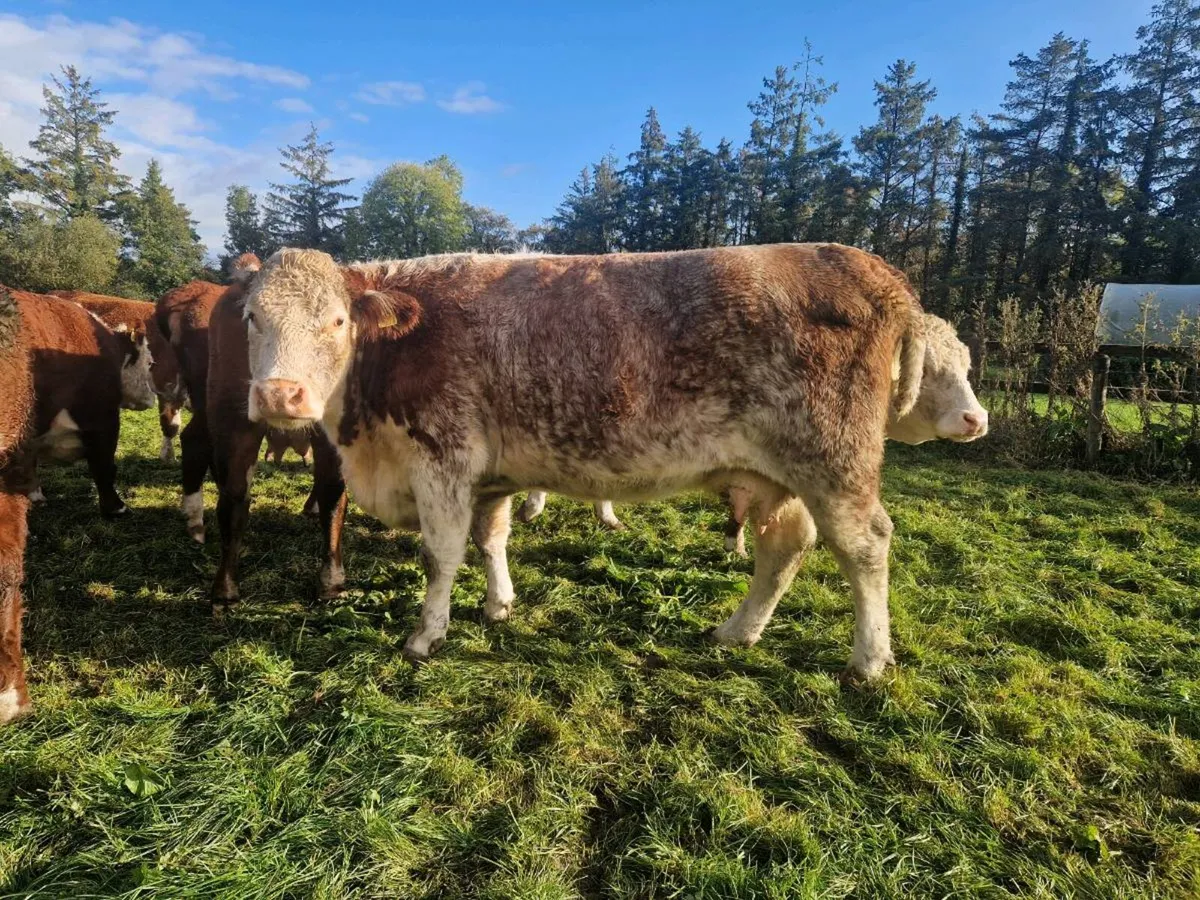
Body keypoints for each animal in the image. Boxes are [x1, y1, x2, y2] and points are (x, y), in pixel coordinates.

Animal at [241, 243, 987, 680]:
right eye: (251, 317)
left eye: (337, 321)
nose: (280, 394)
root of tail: (873, 268)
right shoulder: (488, 471)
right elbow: (491, 539)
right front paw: (500, 604)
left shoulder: (442, 455)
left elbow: (441, 554)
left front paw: (427, 635)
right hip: (778, 474)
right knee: (785, 548)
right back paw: (737, 632)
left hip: (834, 461)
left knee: (866, 546)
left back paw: (869, 659)